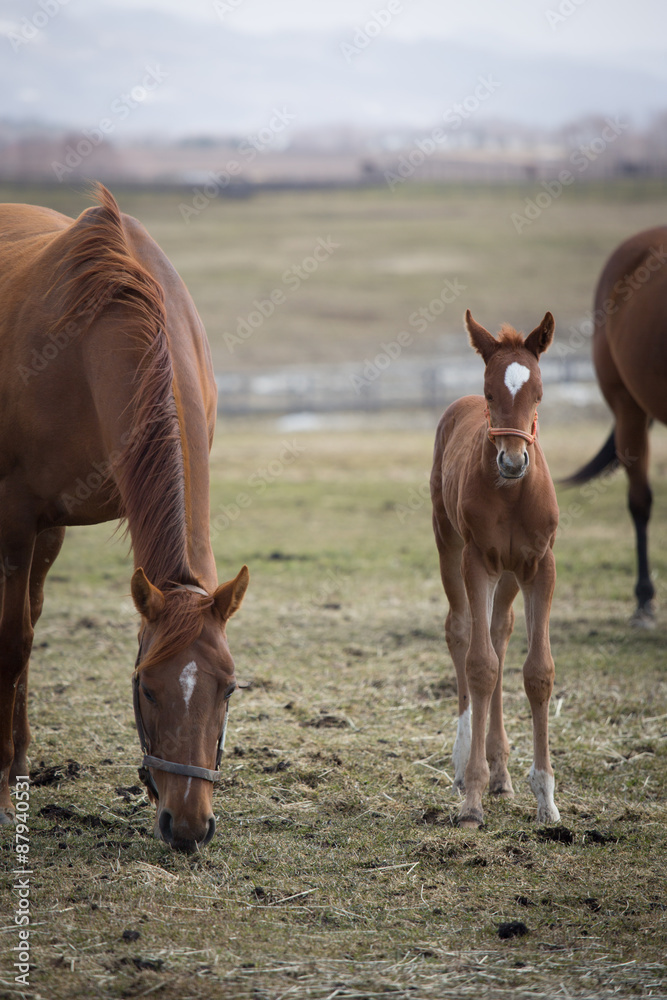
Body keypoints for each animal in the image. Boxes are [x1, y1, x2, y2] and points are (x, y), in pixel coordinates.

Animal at [0, 185, 249, 852]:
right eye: (146, 686)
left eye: (229, 687)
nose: (188, 826)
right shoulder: (14, 517)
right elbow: (11, 641)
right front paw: (3, 785)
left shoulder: (46, 522)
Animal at [430, 310, 560, 828]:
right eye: (490, 393)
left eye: (539, 392)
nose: (512, 460)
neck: (512, 494)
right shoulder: (477, 560)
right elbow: (480, 665)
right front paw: (472, 800)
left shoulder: (539, 564)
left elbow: (537, 671)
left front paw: (546, 798)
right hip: (449, 542)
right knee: (464, 631)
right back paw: (466, 760)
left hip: (508, 575)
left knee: (500, 631)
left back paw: (501, 771)